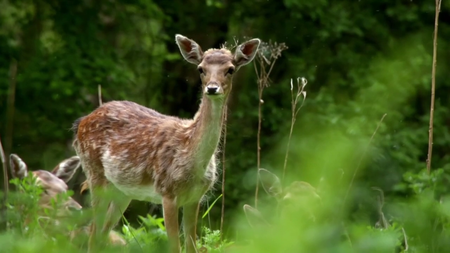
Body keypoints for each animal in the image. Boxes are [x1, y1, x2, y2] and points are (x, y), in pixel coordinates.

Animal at [70, 34, 260, 253]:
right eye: (200, 69)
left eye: (230, 69)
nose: (212, 88)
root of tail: (81, 122)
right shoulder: (167, 192)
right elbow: (174, 247)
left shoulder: (195, 197)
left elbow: (191, 246)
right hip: (95, 173)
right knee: (93, 234)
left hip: (122, 190)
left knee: (102, 234)